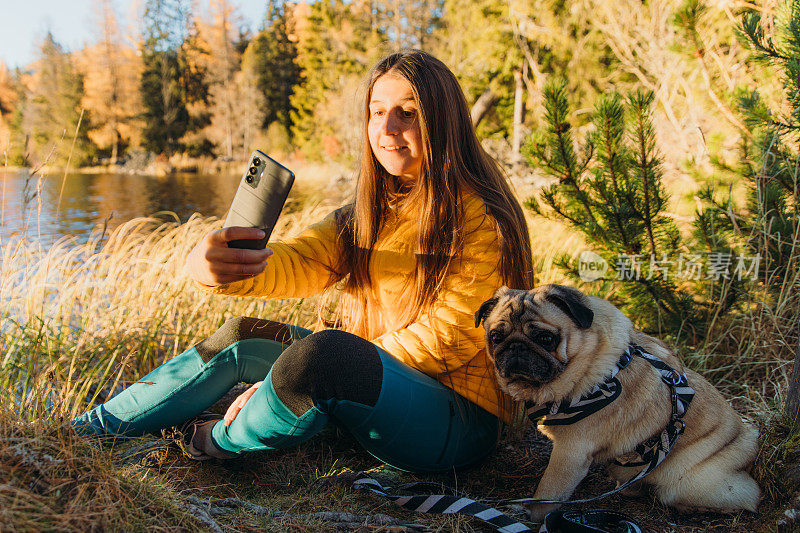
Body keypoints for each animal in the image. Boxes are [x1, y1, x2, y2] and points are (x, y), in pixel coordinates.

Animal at [478, 284, 760, 520]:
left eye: (545, 338)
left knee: (748, 498)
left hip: (688, 483)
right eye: (496, 337)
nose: (516, 347)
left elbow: (546, 494)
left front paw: (532, 516)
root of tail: (747, 448)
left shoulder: (570, 452)